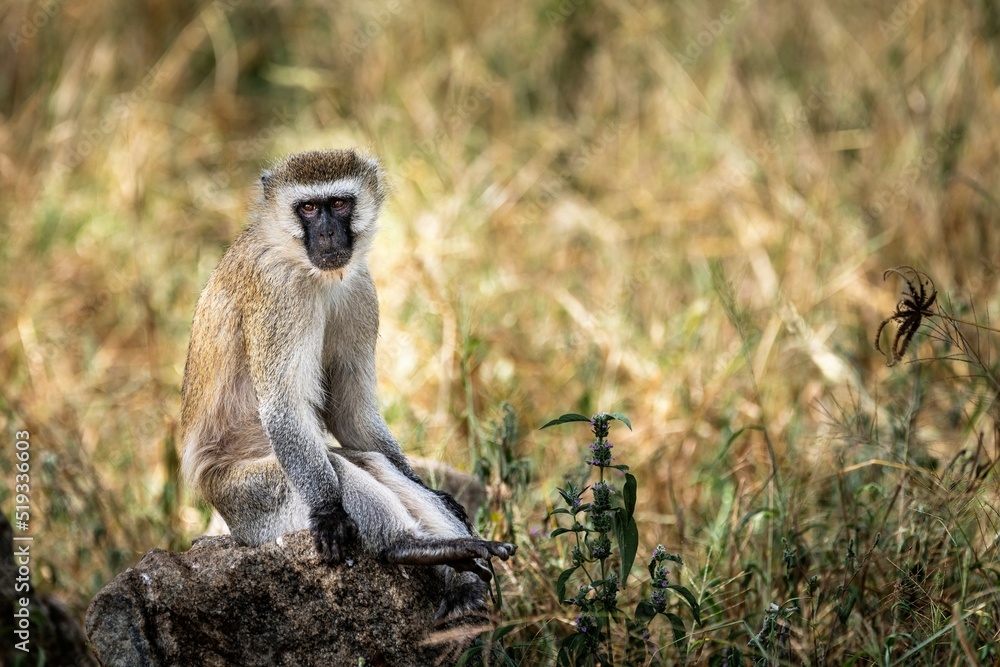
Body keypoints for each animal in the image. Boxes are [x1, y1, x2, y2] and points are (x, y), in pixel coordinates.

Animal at [180, 149, 515, 618]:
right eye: (307, 207)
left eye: (338, 203)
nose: (326, 233)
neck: (298, 260)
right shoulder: (279, 294)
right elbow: (285, 406)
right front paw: (330, 513)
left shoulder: (361, 289)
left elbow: (350, 412)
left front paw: (438, 493)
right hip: (247, 504)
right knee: (331, 469)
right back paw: (403, 546)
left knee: (370, 461)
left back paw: (460, 579)